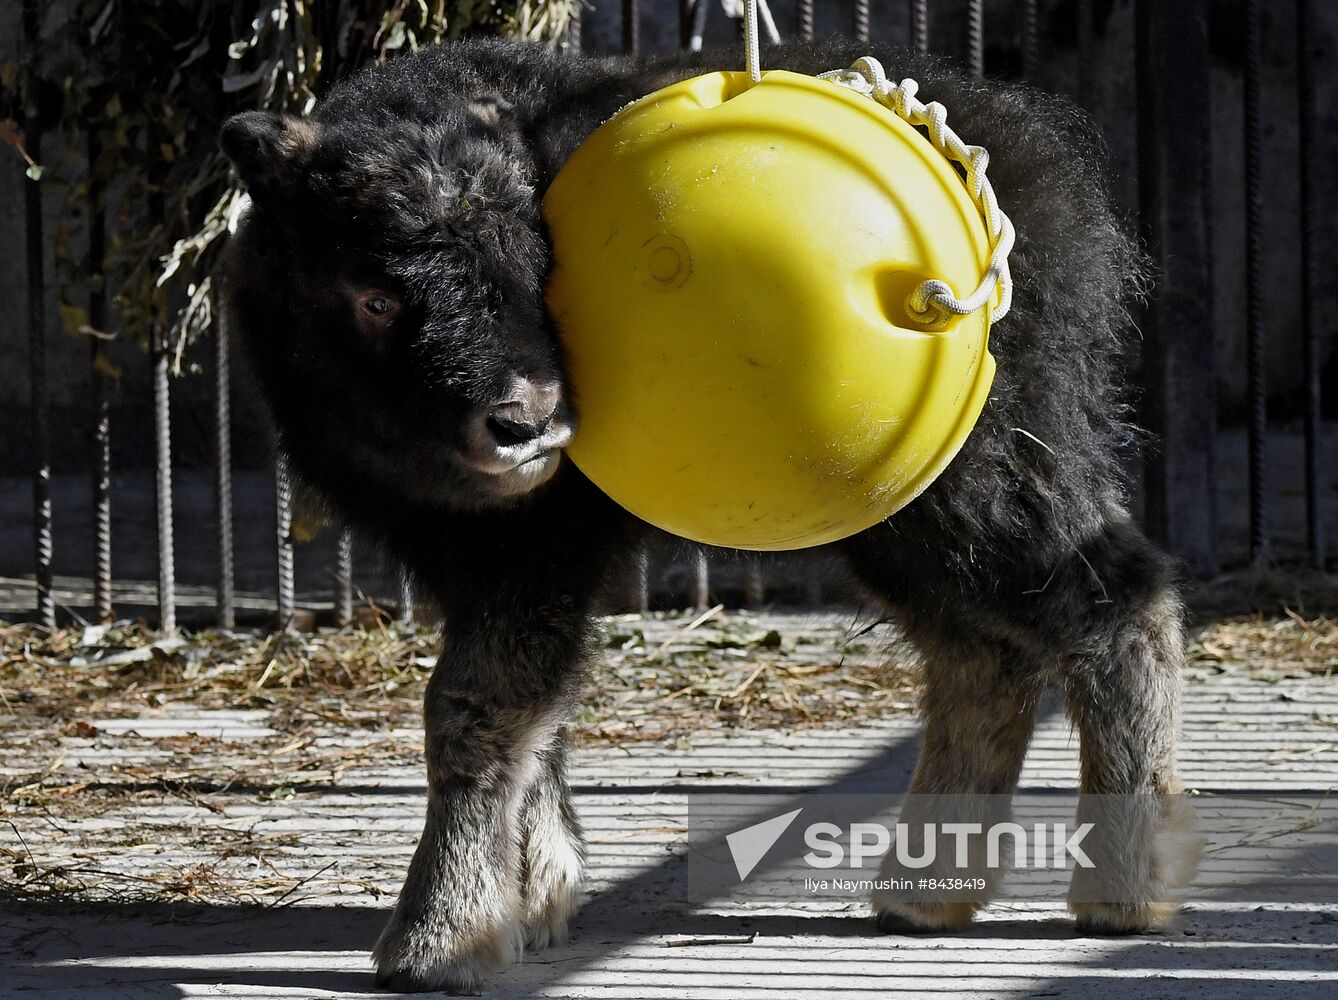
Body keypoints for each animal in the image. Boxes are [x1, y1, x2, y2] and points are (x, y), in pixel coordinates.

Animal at [219, 37, 1193, 995]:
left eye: (539, 268)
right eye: (375, 295)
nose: (527, 422)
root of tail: (1042, 175)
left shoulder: (533, 554)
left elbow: (476, 702)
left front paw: (438, 938)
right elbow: (537, 713)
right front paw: (537, 896)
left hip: (984, 487)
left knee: (1111, 604)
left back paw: (1118, 896)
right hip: (904, 524)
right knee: (983, 652)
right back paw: (924, 893)